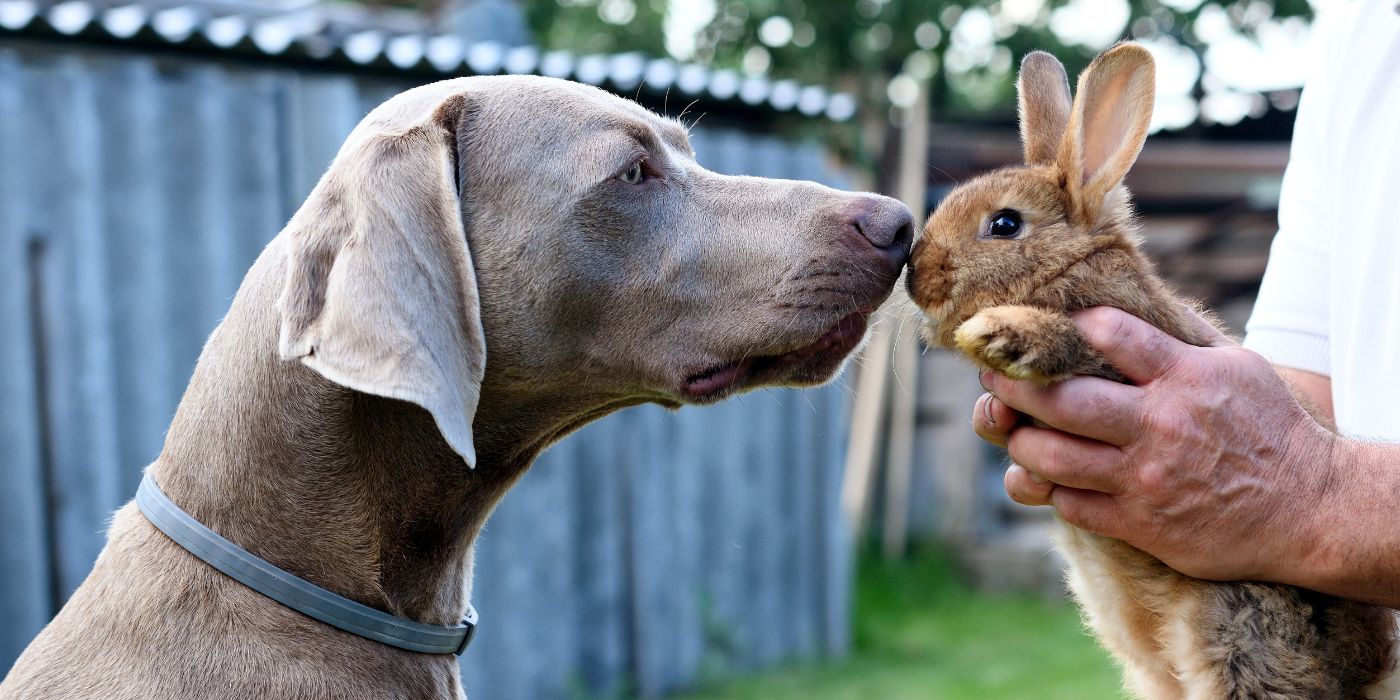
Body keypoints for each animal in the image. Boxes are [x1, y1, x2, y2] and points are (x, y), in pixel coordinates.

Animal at [901, 45, 1394, 700]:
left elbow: (1069, 345)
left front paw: (999, 334)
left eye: (1004, 225)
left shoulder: (1116, 356)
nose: (916, 276)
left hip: (1240, 630)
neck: (1071, 266)